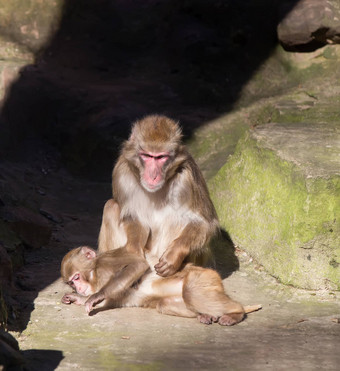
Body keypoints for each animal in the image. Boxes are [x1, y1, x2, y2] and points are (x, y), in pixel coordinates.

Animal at [61, 247, 260, 326]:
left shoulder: (107, 262)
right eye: (71, 283)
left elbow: (137, 264)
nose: (78, 289)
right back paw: (205, 315)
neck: (96, 273)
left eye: (76, 277)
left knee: (191, 292)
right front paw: (78, 298)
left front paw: (94, 297)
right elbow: (115, 299)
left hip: (206, 277)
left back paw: (236, 313)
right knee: (164, 304)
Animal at [97, 115, 218, 278]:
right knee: (111, 206)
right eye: (147, 156)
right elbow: (132, 216)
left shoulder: (188, 178)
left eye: (161, 157)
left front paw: (174, 255)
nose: (153, 175)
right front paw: (133, 249)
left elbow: (204, 223)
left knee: (178, 218)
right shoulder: (121, 173)